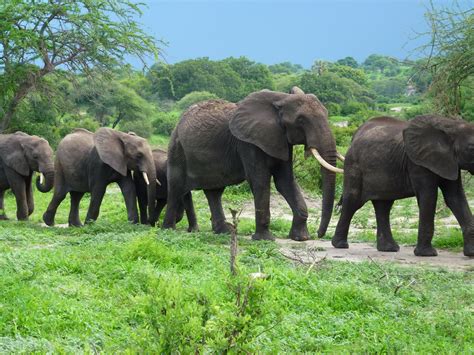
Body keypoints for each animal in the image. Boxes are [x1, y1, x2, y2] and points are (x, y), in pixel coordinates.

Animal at [164, 87, 344, 242]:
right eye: (301, 120)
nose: (319, 234)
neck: (280, 99)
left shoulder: (281, 140)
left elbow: (285, 181)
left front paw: (301, 238)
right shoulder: (247, 143)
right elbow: (260, 180)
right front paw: (265, 239)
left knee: (214, 192)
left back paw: (224, 230)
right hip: (177, 148)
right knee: (176, 187)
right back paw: (168, 229)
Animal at [332, 115, 474, 258]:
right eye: (472, 147)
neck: (451, 126)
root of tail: (355, 136)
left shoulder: (450, 161)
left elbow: (455, 197)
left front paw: (471, 253)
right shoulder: (416, 163)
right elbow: (429, 197)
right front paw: (427, 254)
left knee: (384, 206)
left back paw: (389, 248)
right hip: (354, 166)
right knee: (353, 202)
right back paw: (340, 245)